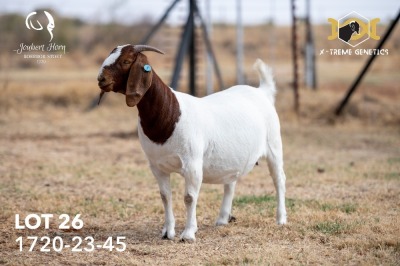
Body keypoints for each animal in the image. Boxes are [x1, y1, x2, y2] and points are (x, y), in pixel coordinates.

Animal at [98, 44, 290, 242]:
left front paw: (188, 234)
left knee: (279, 180)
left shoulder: (192, 163)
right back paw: (222, 219)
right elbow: (165, 196)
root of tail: (262, 92)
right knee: (230, 183)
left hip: (274, 146)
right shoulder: (157, 166)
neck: (171, 112)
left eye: (126, 61)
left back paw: (281, 219)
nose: (101, 79)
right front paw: (167, 232)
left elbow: (189, 197)